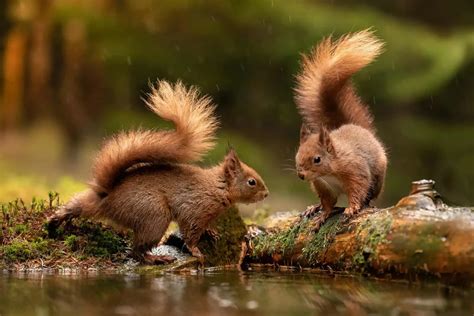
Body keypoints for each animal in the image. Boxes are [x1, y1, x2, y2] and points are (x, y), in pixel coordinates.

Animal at [49, 80, 270, 262]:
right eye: (252, 182)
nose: (267, 194)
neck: (218, 186)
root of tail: (108, 198)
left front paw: (211, 233)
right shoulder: (195, 208)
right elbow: (190, 232)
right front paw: (196, 251)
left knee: (79, 206)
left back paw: (55, 219)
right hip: (154, 216)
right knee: (136, 251)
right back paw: (156, 258)